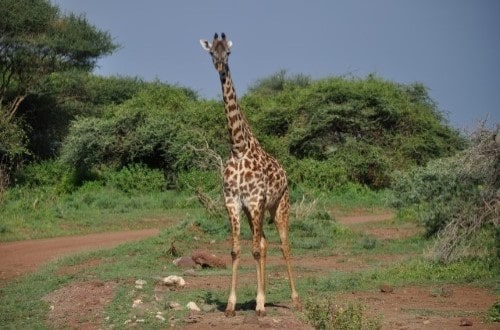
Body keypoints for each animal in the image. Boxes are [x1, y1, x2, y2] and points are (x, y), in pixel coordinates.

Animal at [200, 32, 300, 318]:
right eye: (211, 52)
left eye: (228, 53)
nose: (220, 67)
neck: (238, 147)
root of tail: (285, 173)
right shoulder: (234, 201)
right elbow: (236, 250)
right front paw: (232, 305)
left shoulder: (255, 200)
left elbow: (254, 250)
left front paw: (260, 305)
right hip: (254, 210)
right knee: (264, 243)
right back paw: (261, 297)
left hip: (279, 205)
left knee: (284, 245)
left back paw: (294, 300)